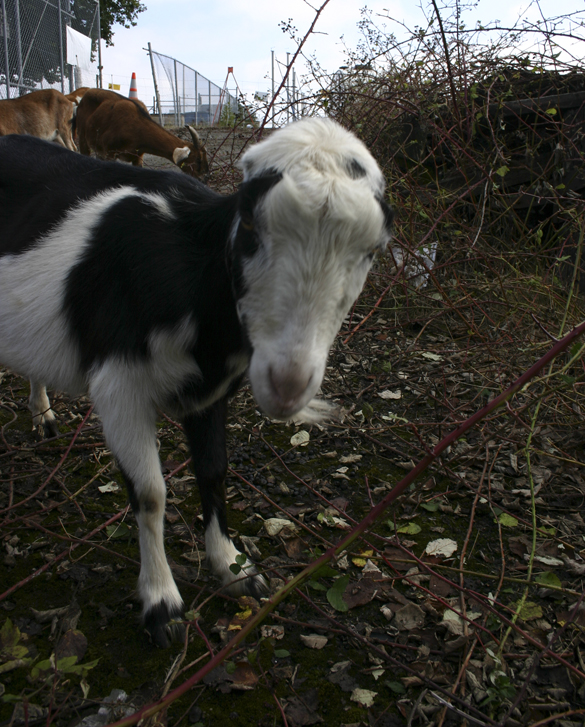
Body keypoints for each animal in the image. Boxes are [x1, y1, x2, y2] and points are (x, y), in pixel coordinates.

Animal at [0, 118, 393, 647]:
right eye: (249, 223)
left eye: (372, 250)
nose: (287, 384)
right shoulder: (118, 383)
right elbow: (150, 493)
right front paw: (161, 604)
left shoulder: (211, 392)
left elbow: (213, 471)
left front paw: (233, 568)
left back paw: (43, 415)